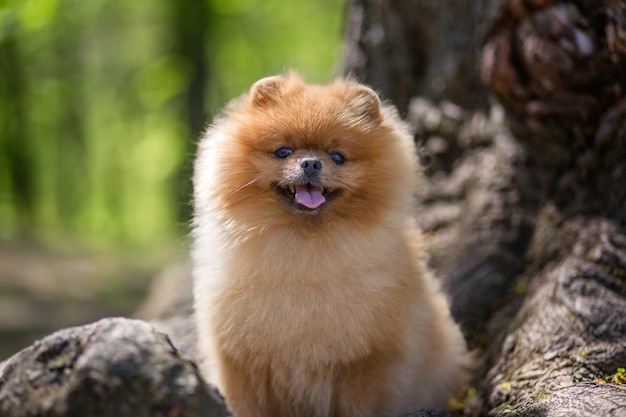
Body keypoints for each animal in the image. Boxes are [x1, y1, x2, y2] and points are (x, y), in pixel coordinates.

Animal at [191, 73, 468, 414]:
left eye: (338, 157)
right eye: (284, 151)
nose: (311, 163)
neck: (305, 248)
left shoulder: (367, 361)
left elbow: (359, 405)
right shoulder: (239, 360)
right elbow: (244, 403)